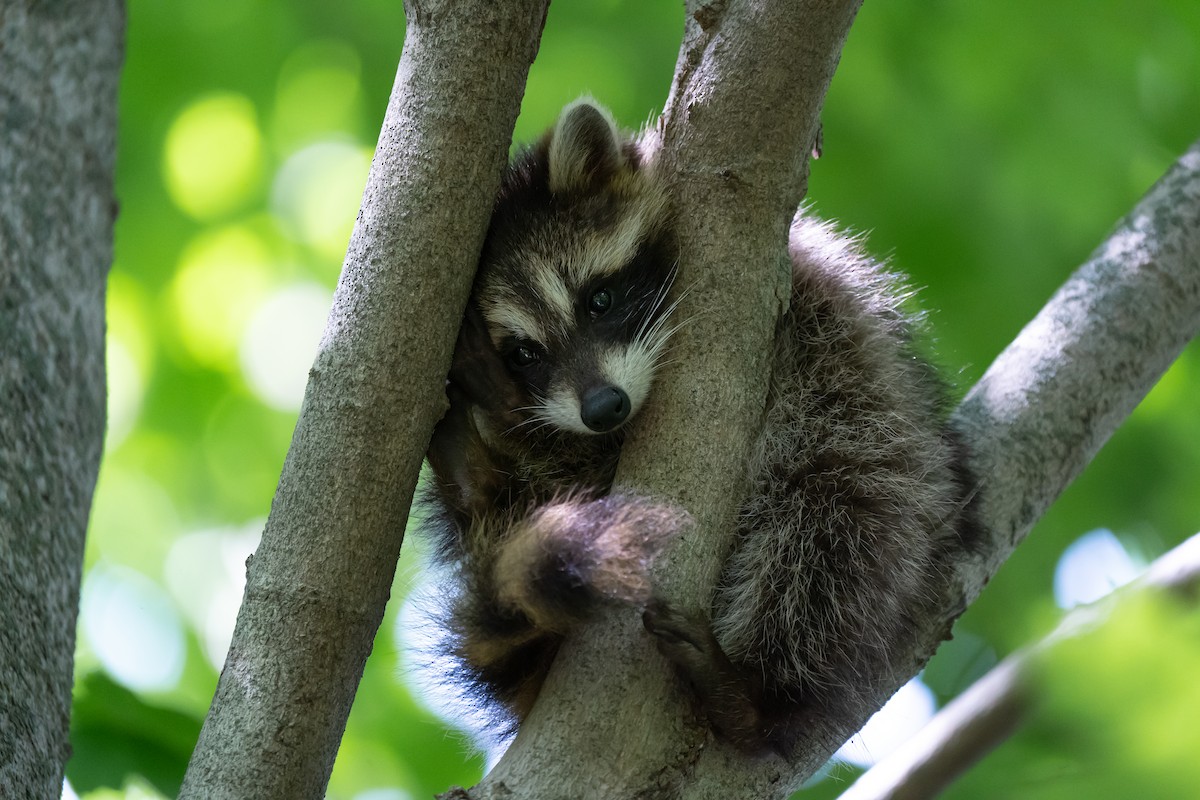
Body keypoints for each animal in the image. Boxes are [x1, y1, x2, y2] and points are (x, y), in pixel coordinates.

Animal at [419, 99, 977, 750]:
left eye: (599, 300)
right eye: (524, 354)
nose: (603, 408)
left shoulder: (813, 303)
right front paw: (510, 412)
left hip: (866, 453)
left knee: (834, 526)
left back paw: (758, 696)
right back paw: (471, 465)